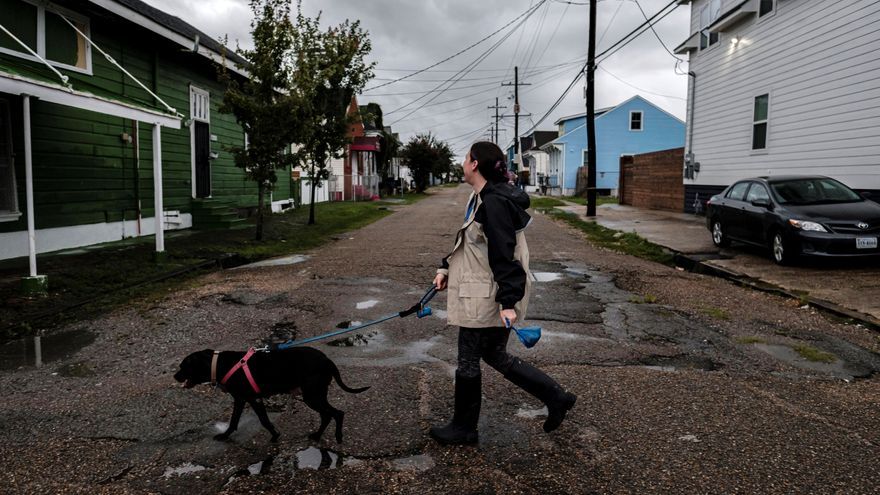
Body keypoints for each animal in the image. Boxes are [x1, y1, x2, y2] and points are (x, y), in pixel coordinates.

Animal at [172, 346, 368, 444]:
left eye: (183, 366)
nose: (174, 376)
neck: (218, 364)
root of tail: (327, 360)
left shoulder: (252, 399)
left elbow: (263, 420)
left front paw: (274, 435)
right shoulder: (242, 399)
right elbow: (235, 421)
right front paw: (226, 435)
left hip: (312, 396)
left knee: (337, 413)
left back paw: (338, 437)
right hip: (315, 395)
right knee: (327, 415)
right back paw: (317, 436)